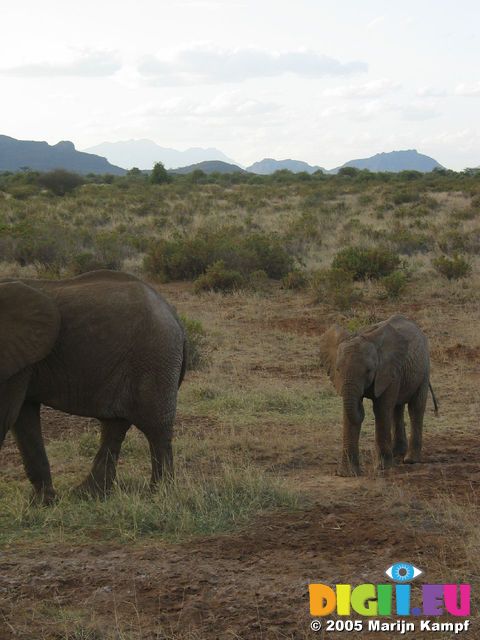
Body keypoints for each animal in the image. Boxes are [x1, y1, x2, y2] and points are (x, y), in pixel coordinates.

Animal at [0, 270, 186, 504]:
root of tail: (175, 316)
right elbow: (23, 418)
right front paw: (43, 503)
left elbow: (6, 414)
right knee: (114, 426)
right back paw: (88, 494)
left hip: (155, 360)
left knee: (156, 429)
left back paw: (158, 495)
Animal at [320, 316, 436, 476]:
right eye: (337, 370)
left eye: (369, 370)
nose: (361, 407)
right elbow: (348, 415)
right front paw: (347, 474)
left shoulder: (388, 371)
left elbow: (381, 409)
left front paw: (382, 467)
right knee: (397, 408)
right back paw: (397, 453)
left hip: (424, 368)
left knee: (415, 408)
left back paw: (410, 460)